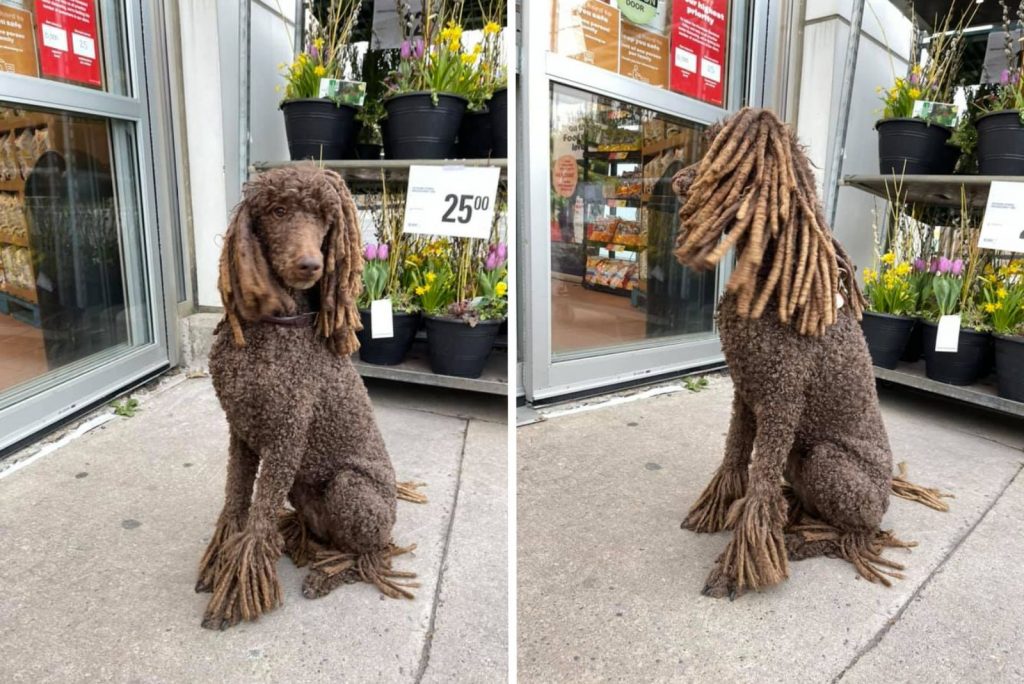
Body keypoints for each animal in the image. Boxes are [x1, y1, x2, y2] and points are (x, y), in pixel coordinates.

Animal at [192, 162, 415, 626]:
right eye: (278, 211)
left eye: (326, 221)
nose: (310, 264)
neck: (275, 328)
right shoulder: (240, 431)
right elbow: (237, 498)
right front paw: (222, 556)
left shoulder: (286, 435)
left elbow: (257, 518)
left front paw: (236, 586)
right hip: (300, 485)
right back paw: (297, 536)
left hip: (352, 490)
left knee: (368, 553)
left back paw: (324, 575)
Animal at [667, 107, 946, 597]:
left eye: (723, 159)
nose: (674, 181)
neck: (769, 281)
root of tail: (888, 490)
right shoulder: (746, 393)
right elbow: (735, 456)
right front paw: (718, 511)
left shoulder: (781, 399)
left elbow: (759, 485)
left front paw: (737, 566)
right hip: (799, 458)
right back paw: (793, 513)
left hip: (827, 462)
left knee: (857, 535)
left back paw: (800, 540)